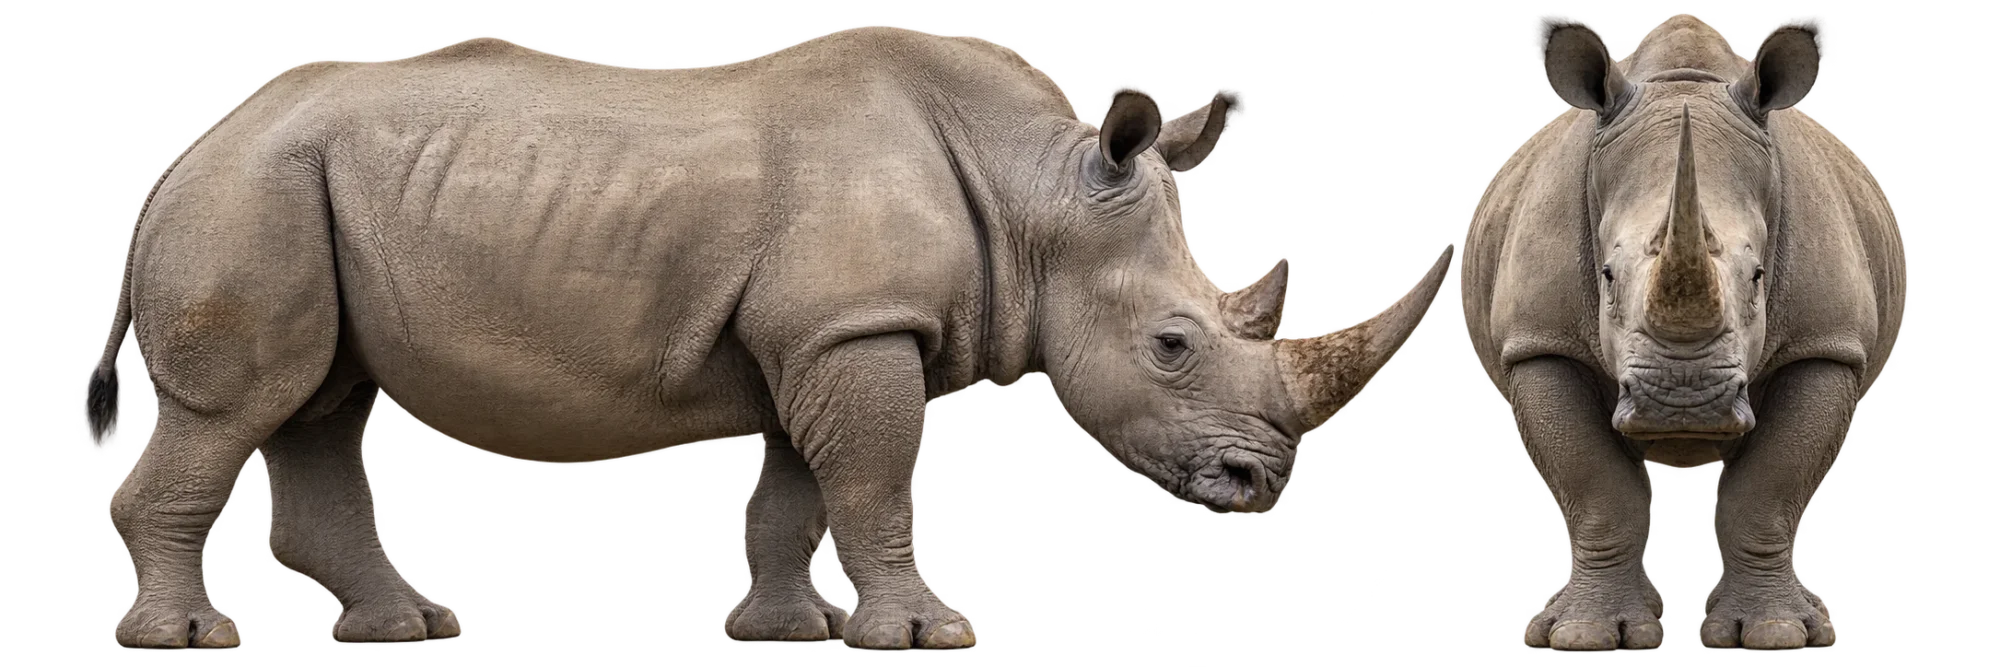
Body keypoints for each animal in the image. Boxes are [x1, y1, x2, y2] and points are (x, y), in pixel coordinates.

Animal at [82, 28, 1456, 651]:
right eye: (1173, 344)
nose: (1258, 483)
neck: (1035, 199)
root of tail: (184, 157)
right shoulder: (856, 329)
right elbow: (878, 482)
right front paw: (925, 635)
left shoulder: (821, 337)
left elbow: (798, 496)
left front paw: (788, 631)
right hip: (254, 194)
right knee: (238, 409)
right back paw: (188, 642)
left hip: (292, 192)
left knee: (319, 406)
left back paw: (411, 625)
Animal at [1458, 12, 1909, 652]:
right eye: (1607, 275)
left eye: (1758, 276)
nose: (1683, 403)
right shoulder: (1540, 340)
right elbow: (1597, 487)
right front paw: (1584, 636)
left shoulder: (1825, 344)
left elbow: (1767, 489)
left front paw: (1775, 634)